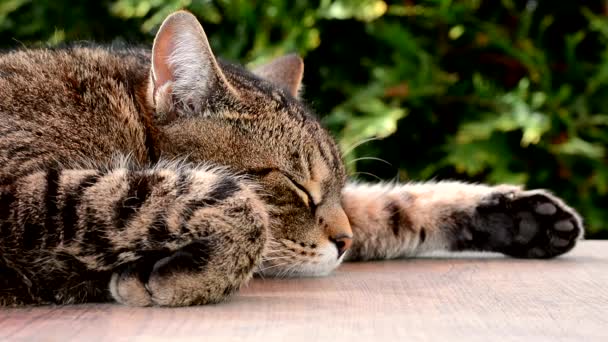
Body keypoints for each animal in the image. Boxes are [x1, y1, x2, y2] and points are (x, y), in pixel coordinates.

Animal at [0, 10, 584, 306]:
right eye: (297, 186)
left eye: (333, 190)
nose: (343, 243)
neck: (119, 115)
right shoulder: (20, 192)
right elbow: (238, 208)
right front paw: (180, 281)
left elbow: (393, 209)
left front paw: (520, 216)